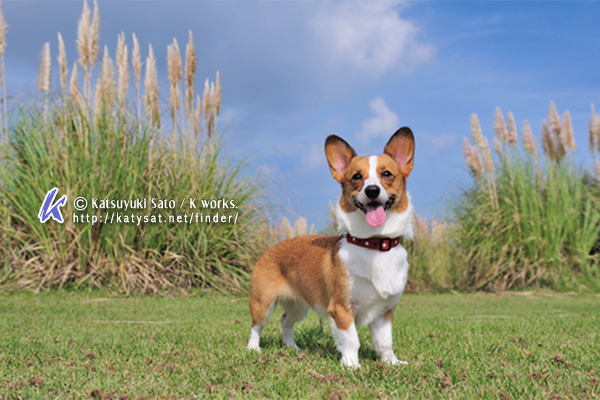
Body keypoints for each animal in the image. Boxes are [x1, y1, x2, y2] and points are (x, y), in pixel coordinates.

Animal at [246, 126, 414, 368]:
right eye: (356, 177)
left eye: (387, 174)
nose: (372, 190)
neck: (373, 243)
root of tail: (271, 247)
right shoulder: (341, 308)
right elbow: (352, 339)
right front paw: (351, 365)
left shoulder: (384, 312)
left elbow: (385, 342)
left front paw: (392, 363)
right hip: (263, 303)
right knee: (256, 326)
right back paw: (253, 349)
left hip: (299, 306)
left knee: (286, 320)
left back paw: (292, 347)